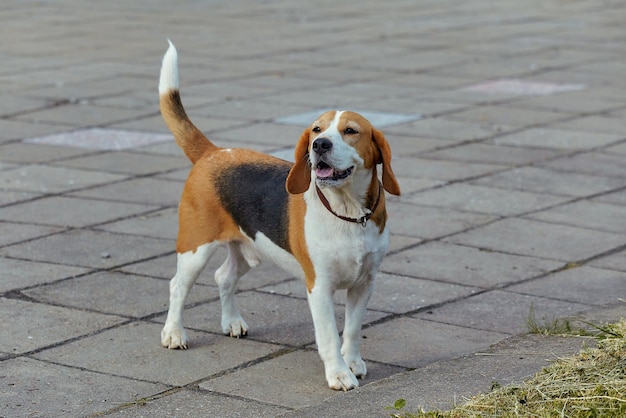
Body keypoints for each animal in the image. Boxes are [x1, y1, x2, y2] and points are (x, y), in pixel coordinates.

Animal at [157, 40, 400, 390]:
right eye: (316, 129)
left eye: (351, 131)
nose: (319, 144)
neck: (347, 212)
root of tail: (212, 153)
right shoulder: (320, 287)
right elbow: (329, 336)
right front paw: (339, 374)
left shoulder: (364, 283)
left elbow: (353, 330)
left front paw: (353, 363)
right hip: (195, 249)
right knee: (178, 285)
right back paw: (174, 333)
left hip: (248, 249)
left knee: (223, 276)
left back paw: (232, 322)